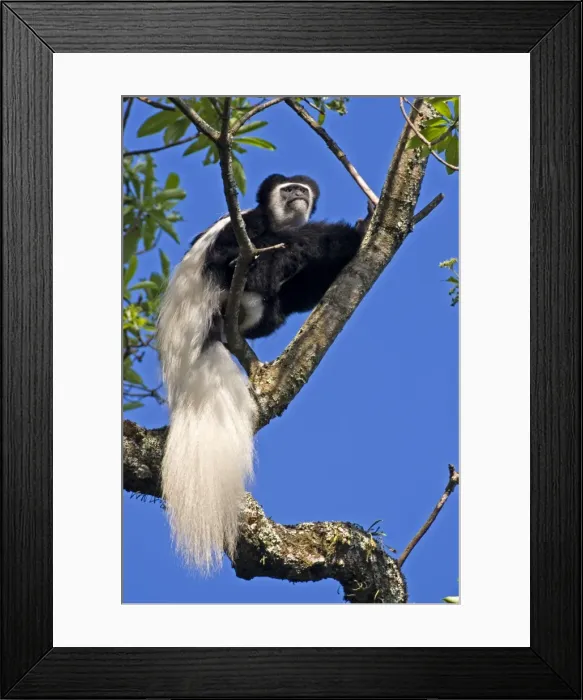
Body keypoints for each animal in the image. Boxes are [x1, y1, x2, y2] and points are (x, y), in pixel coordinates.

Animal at [157, 174, 372, 573]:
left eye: (302, 191)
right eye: (287, 189)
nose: (299, 194)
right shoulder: (248, 222)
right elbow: (239, 248)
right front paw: (355, 230)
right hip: (232, 283)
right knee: (280, 250)